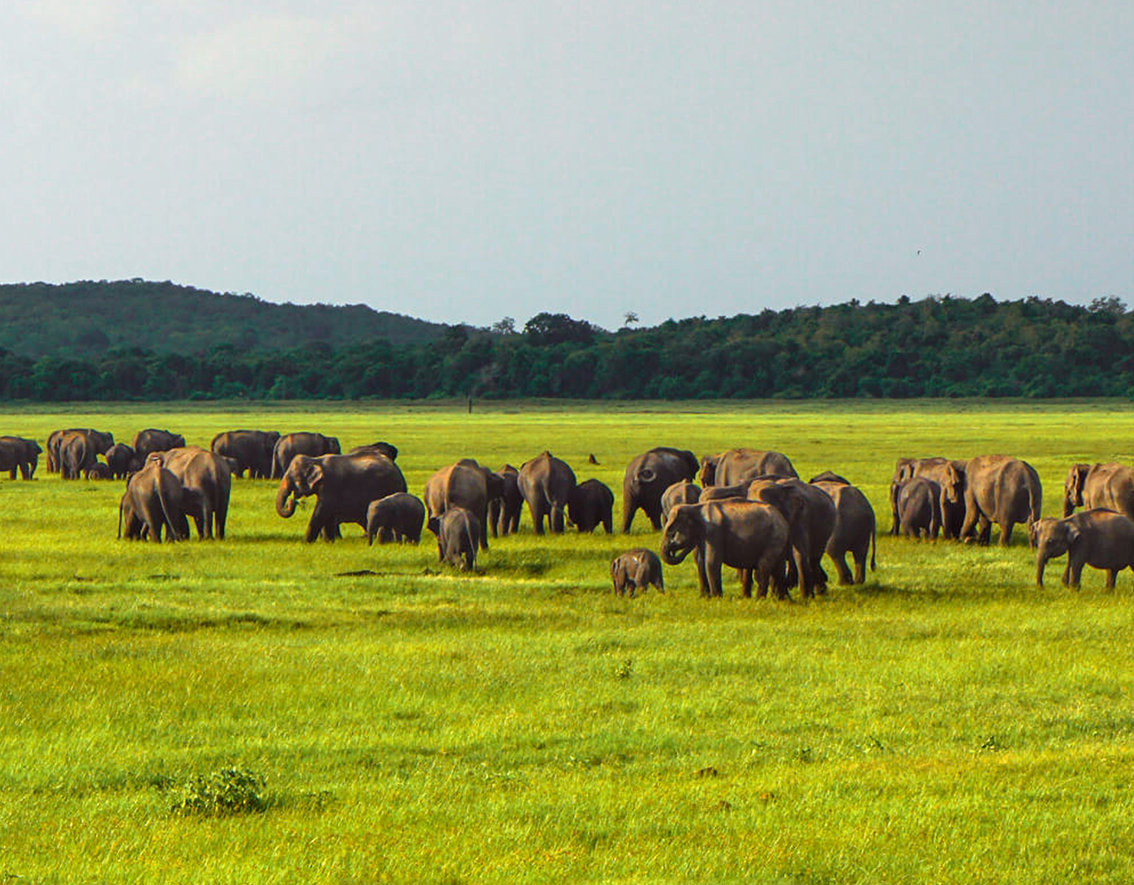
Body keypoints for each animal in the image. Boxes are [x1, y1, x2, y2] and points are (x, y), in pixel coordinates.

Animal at [276, 451, 407, 542]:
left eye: (293, 479)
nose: (292, 501)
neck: (315, 460)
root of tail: (398, 471)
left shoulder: (331, 485)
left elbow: (322, 511)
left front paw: (306, 542)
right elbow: (327, 515)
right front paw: (329, 542)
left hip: (391, 487)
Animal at [661, 499, 791, 599]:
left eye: (671, 533)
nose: (672, 550)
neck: (695, 507)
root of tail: (783, 520)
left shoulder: (714, 532)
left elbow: (711, 562)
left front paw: (716, 598)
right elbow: (701, 562)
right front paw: (705, 598)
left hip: (774, 539)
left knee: (763, 568)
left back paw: (759, 599)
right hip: (778, 541)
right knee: (778, 569)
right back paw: (783, 600)